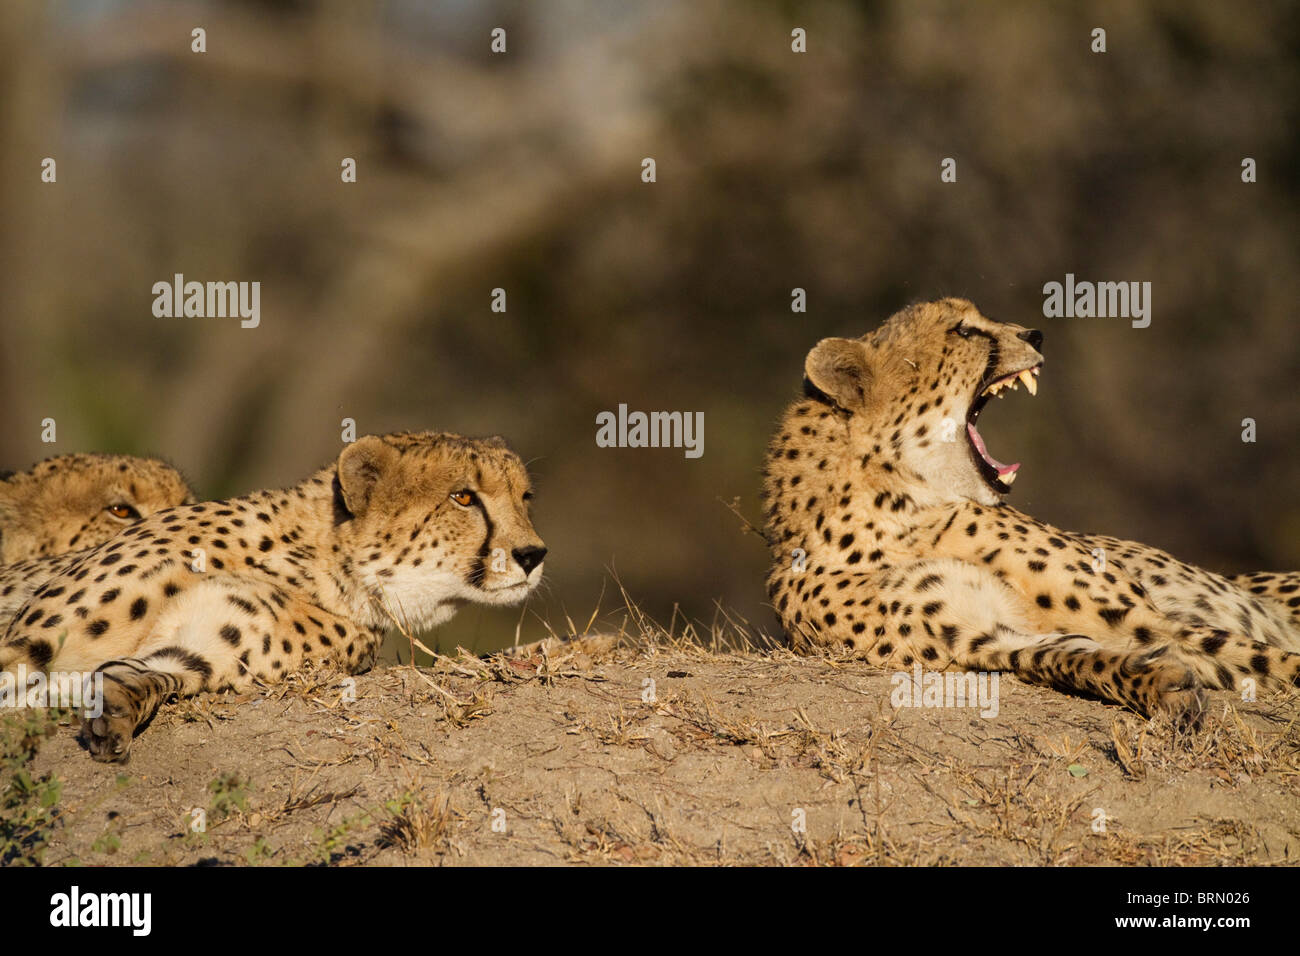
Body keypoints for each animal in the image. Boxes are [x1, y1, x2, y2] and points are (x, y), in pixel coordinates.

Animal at [759, 295, 1300, 723]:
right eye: (963, 330)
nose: (1035, 332)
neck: (897, 510)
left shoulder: (1143, 617)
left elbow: (1265, 657)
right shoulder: (982, 639)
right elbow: (1072, 659)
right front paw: (1157, 684)